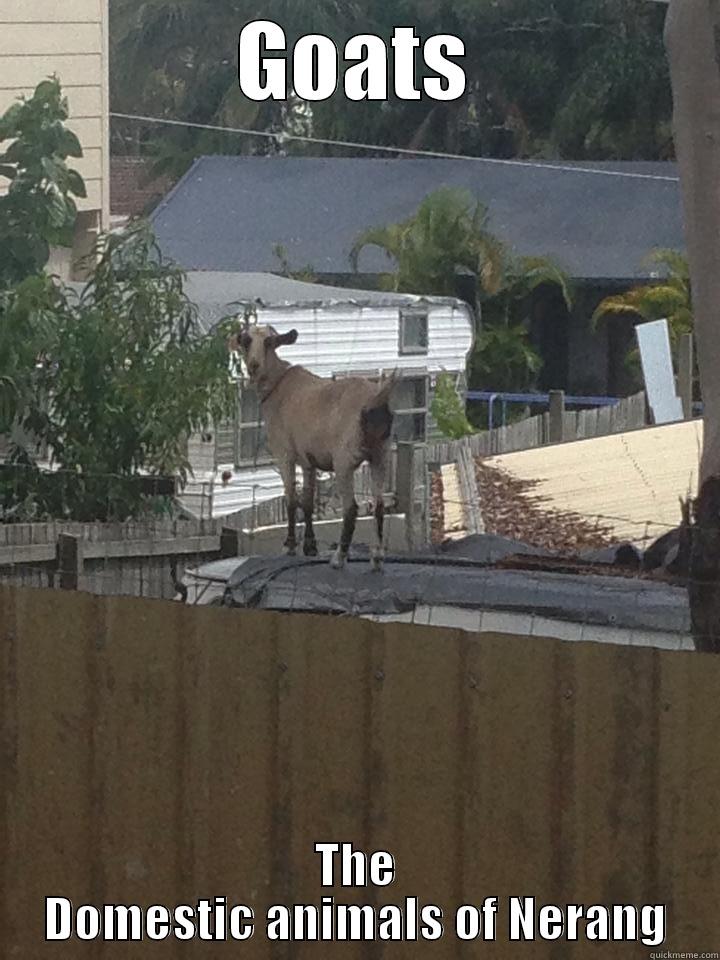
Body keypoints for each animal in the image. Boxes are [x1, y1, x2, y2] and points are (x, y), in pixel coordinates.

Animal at [229, 326, 394, 572]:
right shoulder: (309, 461)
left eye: (268, 342)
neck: (278, 385)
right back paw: (377, 558)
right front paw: (310, 546)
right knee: (379, 505)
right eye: (246, 340)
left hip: (344, 460)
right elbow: (307, 502)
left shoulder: (284, 454)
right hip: (380, 454)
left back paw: (339, 557)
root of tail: (375, 401)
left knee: (351, 508)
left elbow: (290, 498)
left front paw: (289, 546)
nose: (254, 366)